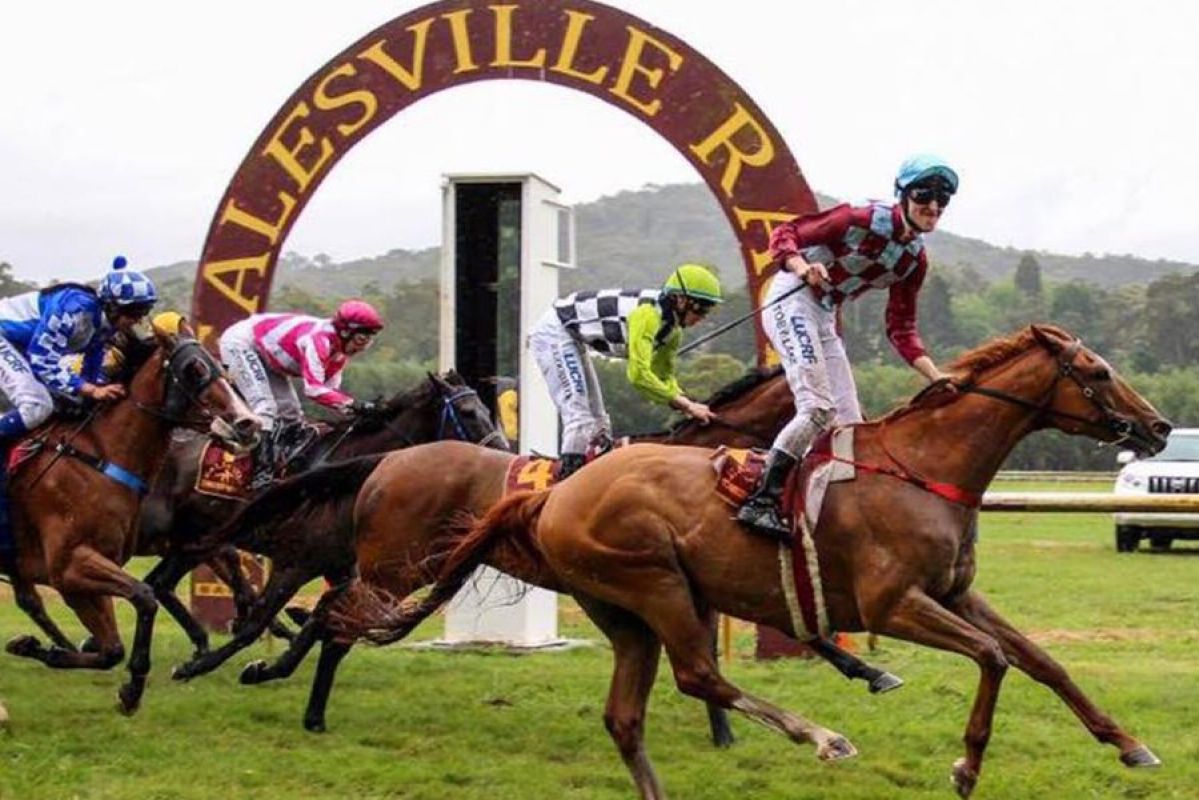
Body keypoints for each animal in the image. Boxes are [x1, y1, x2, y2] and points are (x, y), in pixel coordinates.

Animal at [4, 319, 260, 714]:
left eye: (222, 365)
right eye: (194, 369)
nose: (248, 424)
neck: (102, 459)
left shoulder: (88, 571)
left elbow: (114, 645)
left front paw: (47, 650)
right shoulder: (70, 566)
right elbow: (145, 595)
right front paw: (134, 681)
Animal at [226, 367, 901, 743]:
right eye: (832, 407)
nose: (857, 446)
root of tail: (389, 460)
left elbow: (793, 631)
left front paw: (867, 671)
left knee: (333, 616)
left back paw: (286, 685)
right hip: (396, 565)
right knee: (332, 618)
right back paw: (283, 685)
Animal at [347, 323, 1170, 796]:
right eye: (1097, 372)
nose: (1159, 426)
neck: (920, 466)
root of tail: (554, 496)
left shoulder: (955, 593)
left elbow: (1041, 661)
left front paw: (1130, 744)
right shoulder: (894, 605)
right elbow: (995, 659)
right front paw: (966, 766)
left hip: (622, 609)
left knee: (627, 715)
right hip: (655, 583)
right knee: (697, 675)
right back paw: (823, 736)